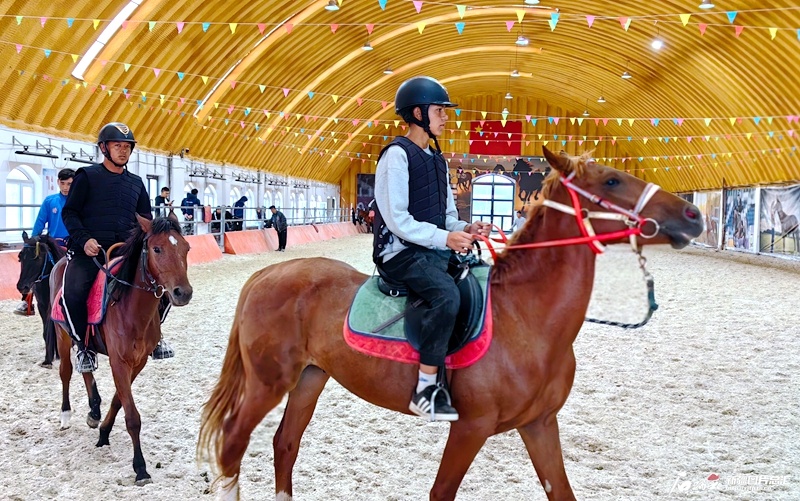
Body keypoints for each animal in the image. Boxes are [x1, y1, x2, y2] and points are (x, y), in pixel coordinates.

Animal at [50, 214, 193, 484]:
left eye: (186, 248)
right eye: (157, 249)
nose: (183, 293)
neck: (130, 308)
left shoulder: (137, 362)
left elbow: (118, 400)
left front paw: (104, 431)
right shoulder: (119, 361)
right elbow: (132, 417)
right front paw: (140, 468)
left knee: (85, 364)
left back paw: (94, 410)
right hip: (62, 334)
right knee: (66, 371)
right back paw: (65, 415)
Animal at [202, 146, 708, 500]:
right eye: (612, 179)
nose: (693, 214)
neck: (525, 320)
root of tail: (266, 274)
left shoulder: (540, 425)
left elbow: (562, 492)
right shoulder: (470, 428)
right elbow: (441, 491)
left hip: (310, 377)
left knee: (284, 444)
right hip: (268, 382)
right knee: (232, 443)